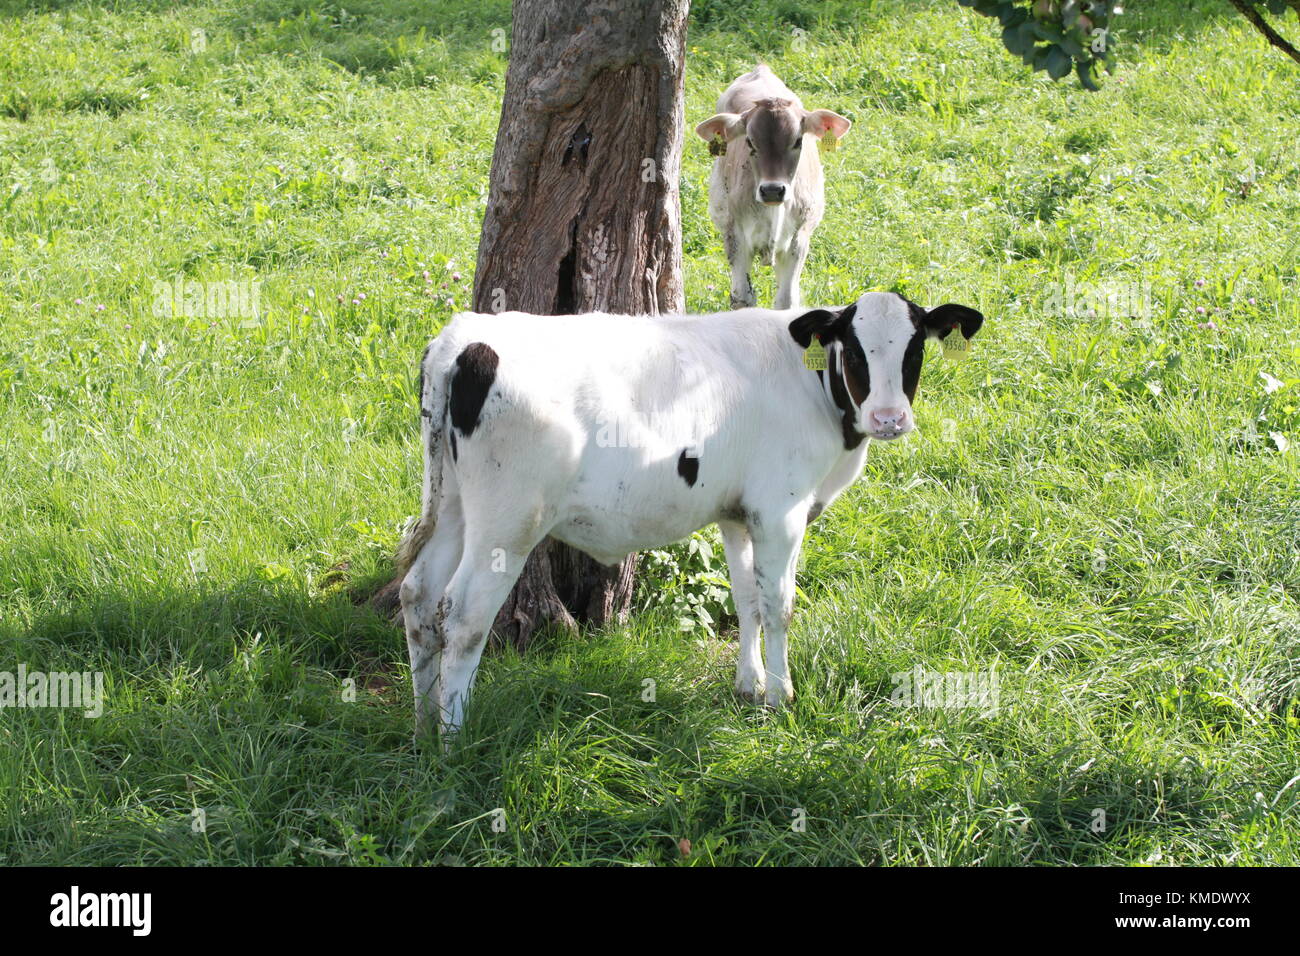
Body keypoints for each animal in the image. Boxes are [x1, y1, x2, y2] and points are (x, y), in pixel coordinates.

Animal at [395, 291, 985, 741]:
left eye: (914, 349)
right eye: (856, 352)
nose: (889, 418)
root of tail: (464, 339)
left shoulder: (737, 513)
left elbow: (746, 598)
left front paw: (749, 686)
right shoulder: (781, 511)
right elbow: (779, 605)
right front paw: (781, 696)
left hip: (453, 505)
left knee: (419, 595)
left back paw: (424, 727)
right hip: (508, 520)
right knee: (463, 615)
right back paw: (455, 739)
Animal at [695, 65, 851, 311]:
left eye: (798, 141)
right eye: (750, 141)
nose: (772, 190)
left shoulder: (799, 239)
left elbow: (786, 300)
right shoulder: (735, 236)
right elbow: (742, 297)